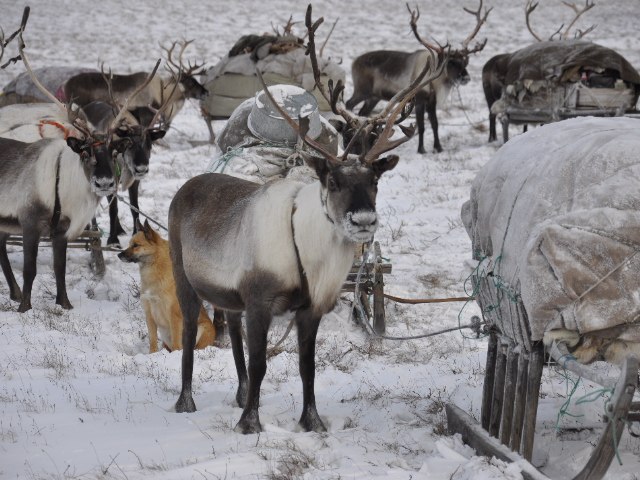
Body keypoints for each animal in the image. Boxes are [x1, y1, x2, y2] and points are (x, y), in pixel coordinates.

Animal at [120, 220, 218, 352]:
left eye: (136, 245)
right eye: (130, 244)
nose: (119, 255)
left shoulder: (174, 315)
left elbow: (176, 341)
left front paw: (175, 354)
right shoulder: (149, 314)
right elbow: (152, 340)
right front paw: (152, 354)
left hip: (201, 328)